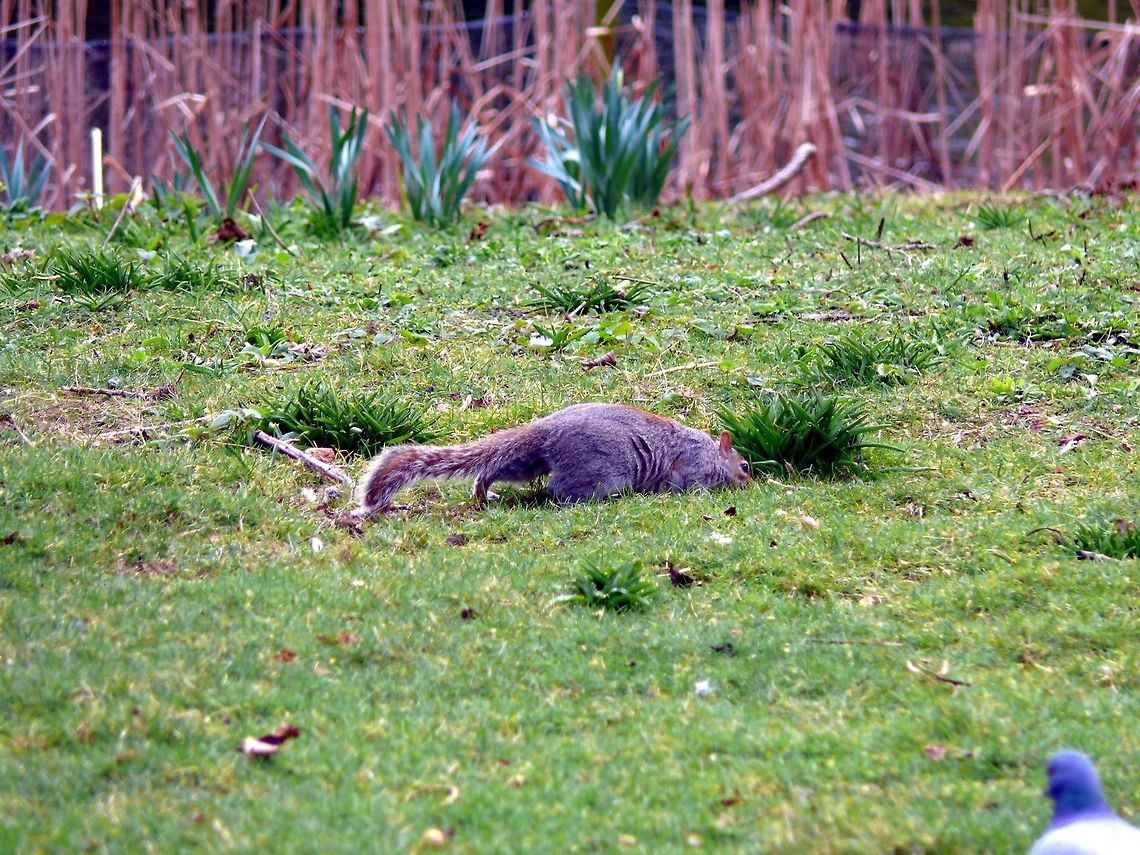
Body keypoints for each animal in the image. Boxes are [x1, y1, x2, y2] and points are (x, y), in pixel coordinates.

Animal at [353, 402, 750, 515]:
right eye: (744, 466)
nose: (749, 481)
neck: (713, 452)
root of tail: (546, 430)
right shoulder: (693, 464)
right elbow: (688, 484)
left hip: (526, 462)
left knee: (493, 470)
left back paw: (483, 493)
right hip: (597, 472)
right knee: (559, 490)